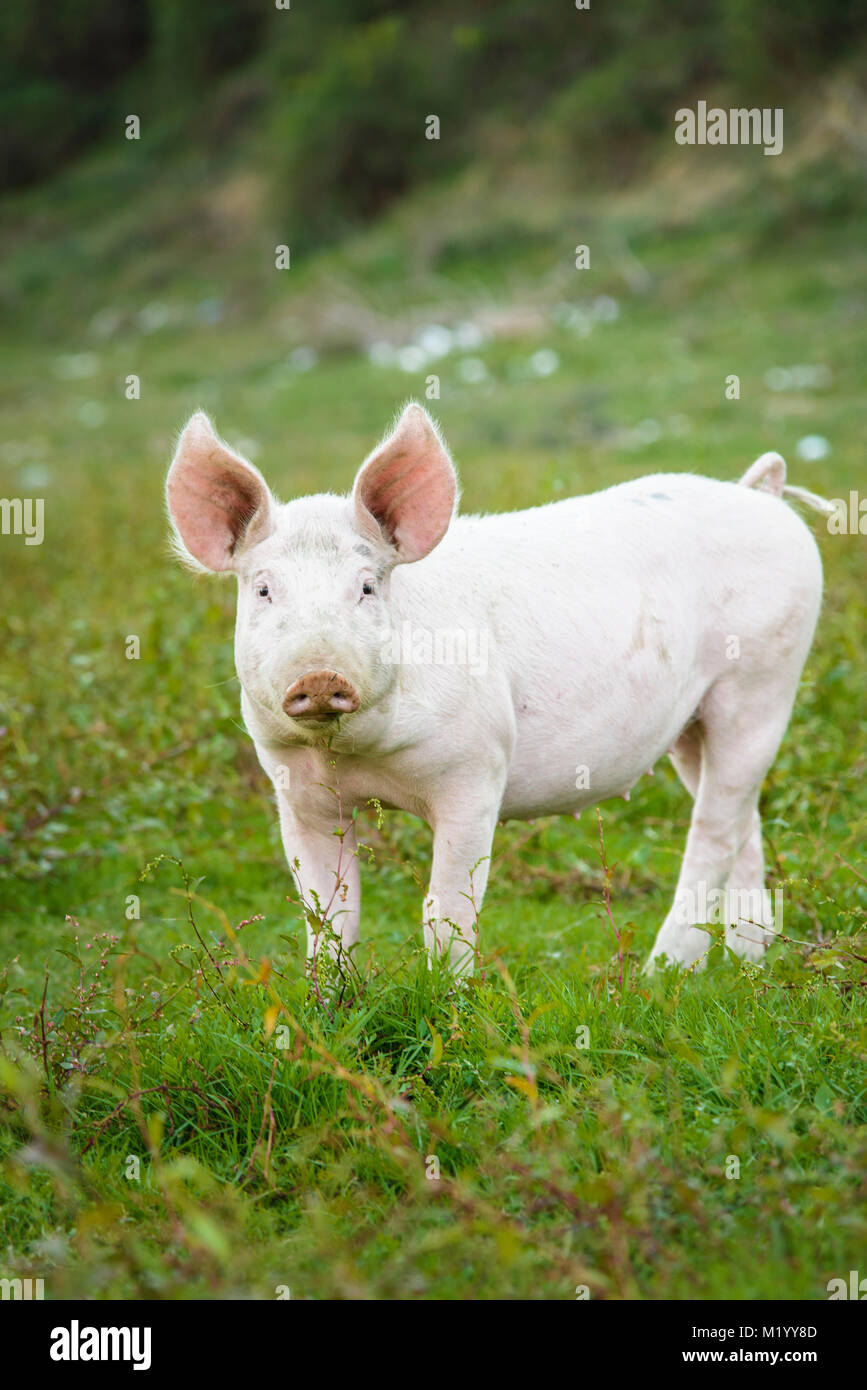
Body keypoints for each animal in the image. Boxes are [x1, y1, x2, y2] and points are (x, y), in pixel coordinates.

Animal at [166, 404, 833, 977]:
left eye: (367, 587)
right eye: (263, 589)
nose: (320, 676)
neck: (359, 756)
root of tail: (761, 493)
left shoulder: (476, 767)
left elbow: (445, 912)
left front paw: (450, 1003)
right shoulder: (296, 787)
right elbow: (330, 918)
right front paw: (323, 1009)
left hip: (762, 680)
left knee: (715, 826)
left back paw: (660, 975)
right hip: (693, 723)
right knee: (741, 819)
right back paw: (747, 964)